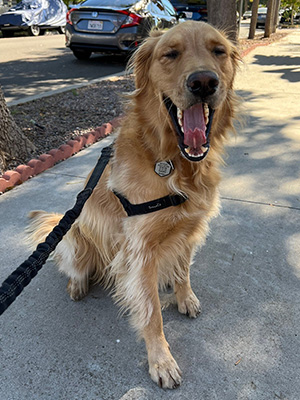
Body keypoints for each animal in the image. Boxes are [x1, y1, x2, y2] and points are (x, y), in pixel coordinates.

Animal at [28, 21, 239, 388]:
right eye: (171, 53)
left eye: (219, 51)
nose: (203, 82)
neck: (174, 163)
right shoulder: (140, 248)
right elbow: (152, 312)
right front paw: (161, 361)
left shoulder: (189, 230)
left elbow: (183, 270)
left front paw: (184, 296)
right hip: (75, 238)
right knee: (74, 265)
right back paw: (77, 284)